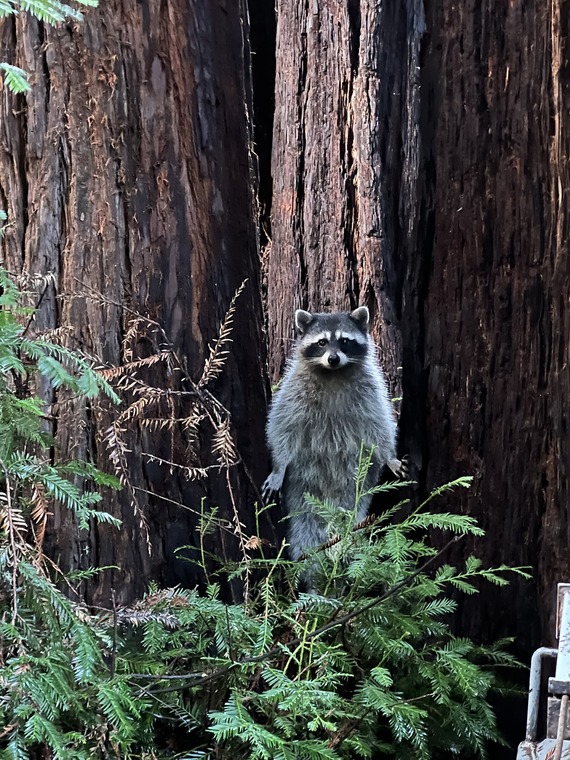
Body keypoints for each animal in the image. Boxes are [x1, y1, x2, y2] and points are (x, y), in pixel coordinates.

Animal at [262, 306, 404, 560]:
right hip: (302, 481)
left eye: (344, 341)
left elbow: (379, 424)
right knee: (305, 523)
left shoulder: (370, 390)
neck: (333, 373)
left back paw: (342, 544)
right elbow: (282, 426)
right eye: (321, 343)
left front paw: (390, 457)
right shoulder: (293, 391)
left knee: (349, 509)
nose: (333, 358)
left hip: (356, 479)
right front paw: (278, 467)